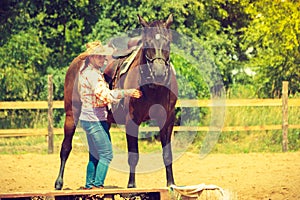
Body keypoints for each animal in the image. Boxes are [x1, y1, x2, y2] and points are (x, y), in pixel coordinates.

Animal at [54, 13, 177, 189]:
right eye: (147, 42)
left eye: (167, 41)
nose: (159, 73)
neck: (153, 87)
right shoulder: (132, 120)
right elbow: (133, 155)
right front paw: (131, 185)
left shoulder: (167, 120)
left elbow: (167, 154)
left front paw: (171, 184)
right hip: (72, 114)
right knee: (66, 147)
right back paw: (59, 182)